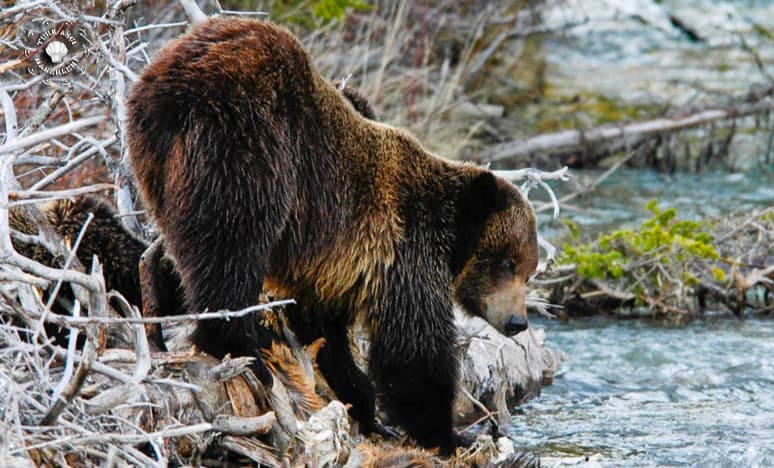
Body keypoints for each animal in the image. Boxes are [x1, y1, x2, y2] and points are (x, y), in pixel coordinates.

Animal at [129, 18, 540, 454]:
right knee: (231, 249)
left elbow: (325, 334)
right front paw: (447, 433)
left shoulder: (335, 270)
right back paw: (240, 345)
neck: (451, 237)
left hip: (156, 166)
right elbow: (413, 346)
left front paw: (362, 404)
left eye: (528, 271)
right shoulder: (406, 247)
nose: (518, 321)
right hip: (248, 146)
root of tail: (173, 91)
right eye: (507, 263)